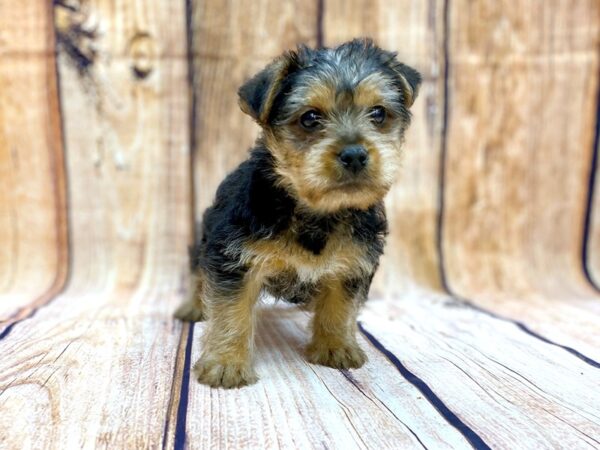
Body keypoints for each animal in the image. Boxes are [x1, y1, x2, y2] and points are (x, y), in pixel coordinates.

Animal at [175, 38, 422, 388]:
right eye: (309, 118)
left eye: (378, 113)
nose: (355, 155)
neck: (314, 210)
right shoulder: (232, 258)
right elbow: (230, 311)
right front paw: (226, 363)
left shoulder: (353, 262)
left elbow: (340, 306)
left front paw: (335, 345)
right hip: (207, 235)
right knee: (199, 272)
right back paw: (192, 308)